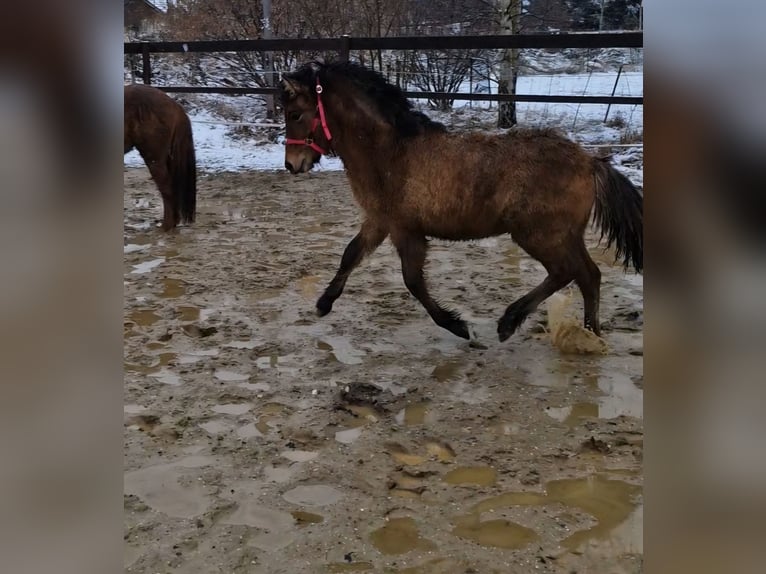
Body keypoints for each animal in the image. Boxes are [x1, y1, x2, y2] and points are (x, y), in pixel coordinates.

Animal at [279, 61, 643, 342]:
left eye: (295, 114)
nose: (291, 164)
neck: (391, 153)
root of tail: (590, 161)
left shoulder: (405, 230)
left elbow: (413, 281)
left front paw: (458, 326)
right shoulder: (380, 221)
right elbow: (351, 255)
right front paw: (323, 304)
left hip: (540, 235)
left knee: (568, 272)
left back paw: (510, 323)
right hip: (564, 235)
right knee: (588, 276)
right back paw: (590, 333)